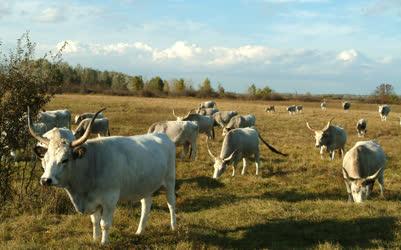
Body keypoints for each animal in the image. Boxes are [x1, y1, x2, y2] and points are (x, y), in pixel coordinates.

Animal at [28, 107, 177, 244]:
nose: (45, 180)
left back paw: (174, 227)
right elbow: (95, 221)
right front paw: (95, 239)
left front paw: (104, 243)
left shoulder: (110, 200)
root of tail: (162, 136)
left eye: (65, 159)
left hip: (170, 182)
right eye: (45, 159)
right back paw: (139, 231)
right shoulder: (93, 201)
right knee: (146, 205)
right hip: (146, 185)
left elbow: (104, 224)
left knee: (171, 204)